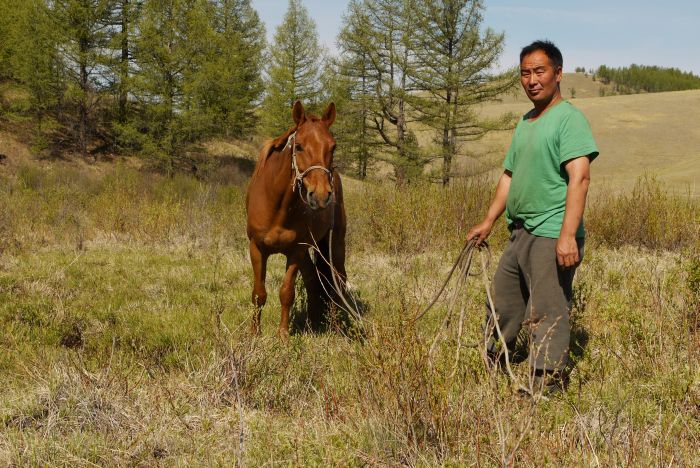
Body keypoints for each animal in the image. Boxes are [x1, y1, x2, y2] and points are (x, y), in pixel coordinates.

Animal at [246, 101, 348, 336]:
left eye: (333, 146)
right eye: (299, 146)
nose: (321, 195)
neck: (276, 207)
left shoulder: (294, 251)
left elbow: (286, 293)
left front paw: (283, 335)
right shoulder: (256, 248)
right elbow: (258, 294)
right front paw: (254, 333)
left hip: (334, 246)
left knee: (337, 283)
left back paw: (335, 327)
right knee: (313, 282)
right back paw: (312, 324)